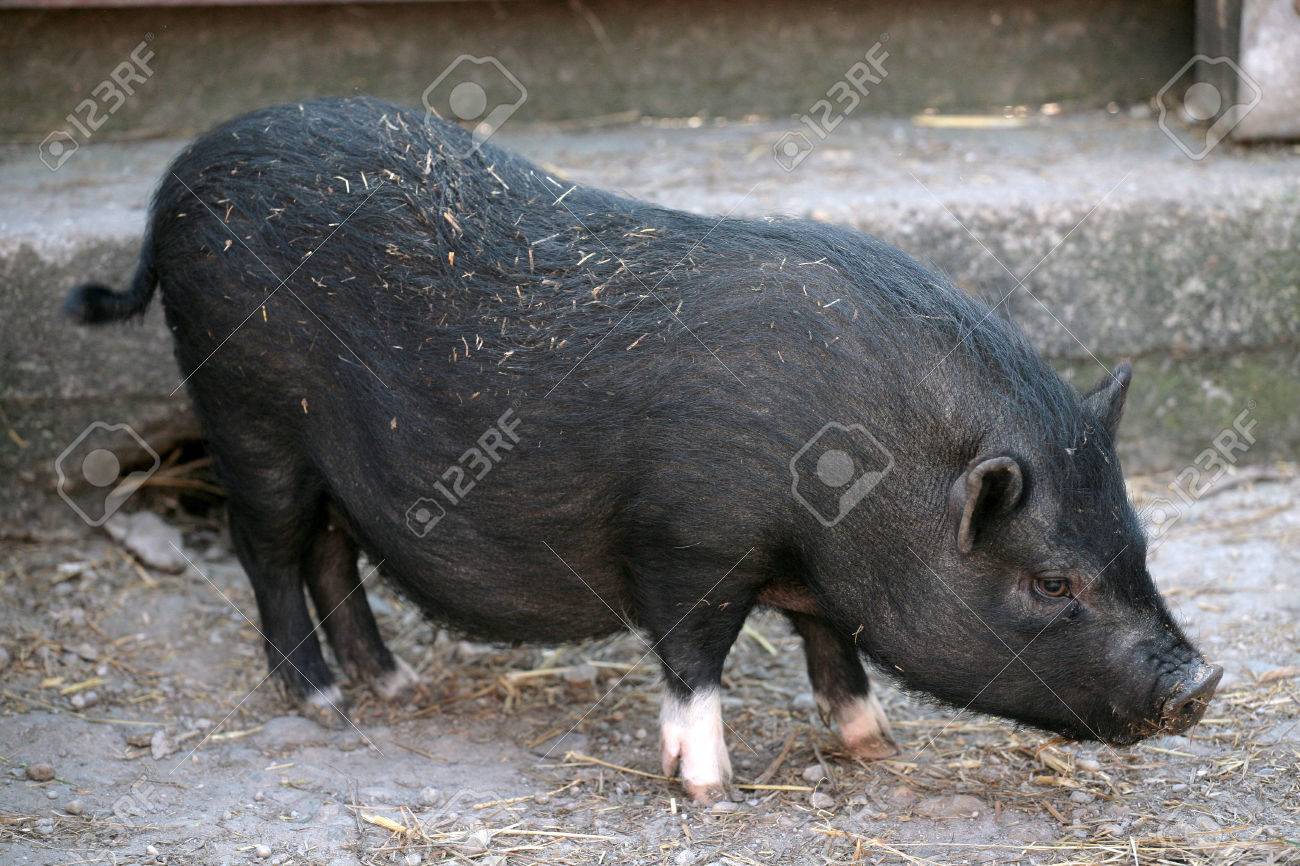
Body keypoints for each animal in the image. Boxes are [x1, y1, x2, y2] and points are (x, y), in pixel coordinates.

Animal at [67, 97, 1221, 804]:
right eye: (1051, 580)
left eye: (1139, 549)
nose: (1203, 680)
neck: (856, 477)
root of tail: (177, 183)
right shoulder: (684, 537)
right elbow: (693, 655)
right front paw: (709, 787)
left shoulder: (808, 575)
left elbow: (831, 645)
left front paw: (875, 744)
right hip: (247, 406)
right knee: (268, 550)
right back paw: (323, 704)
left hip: (327, 455)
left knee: (331, 552)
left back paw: (392, 687)